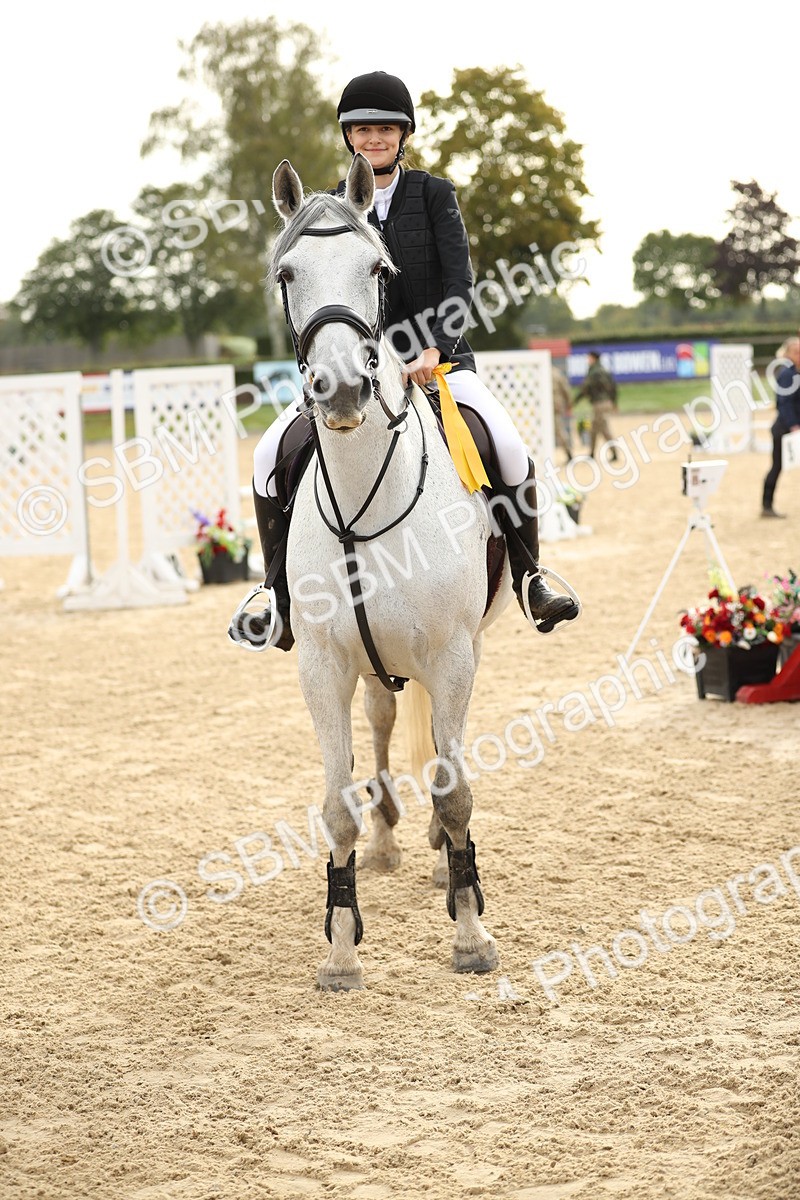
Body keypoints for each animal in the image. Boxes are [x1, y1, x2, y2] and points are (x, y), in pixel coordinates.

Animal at [269, 153, 515, 990]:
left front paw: (471, 935)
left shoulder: (452, 653)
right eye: (287, 273)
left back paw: (441, 859)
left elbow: (457, 788)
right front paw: (341, 948)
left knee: (445, 749)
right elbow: (336, 799)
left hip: (471, 645)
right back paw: (386, 842)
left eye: (377, 269)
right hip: (372, 661)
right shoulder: (321, 662)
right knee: (381, 722)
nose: (342, 390)